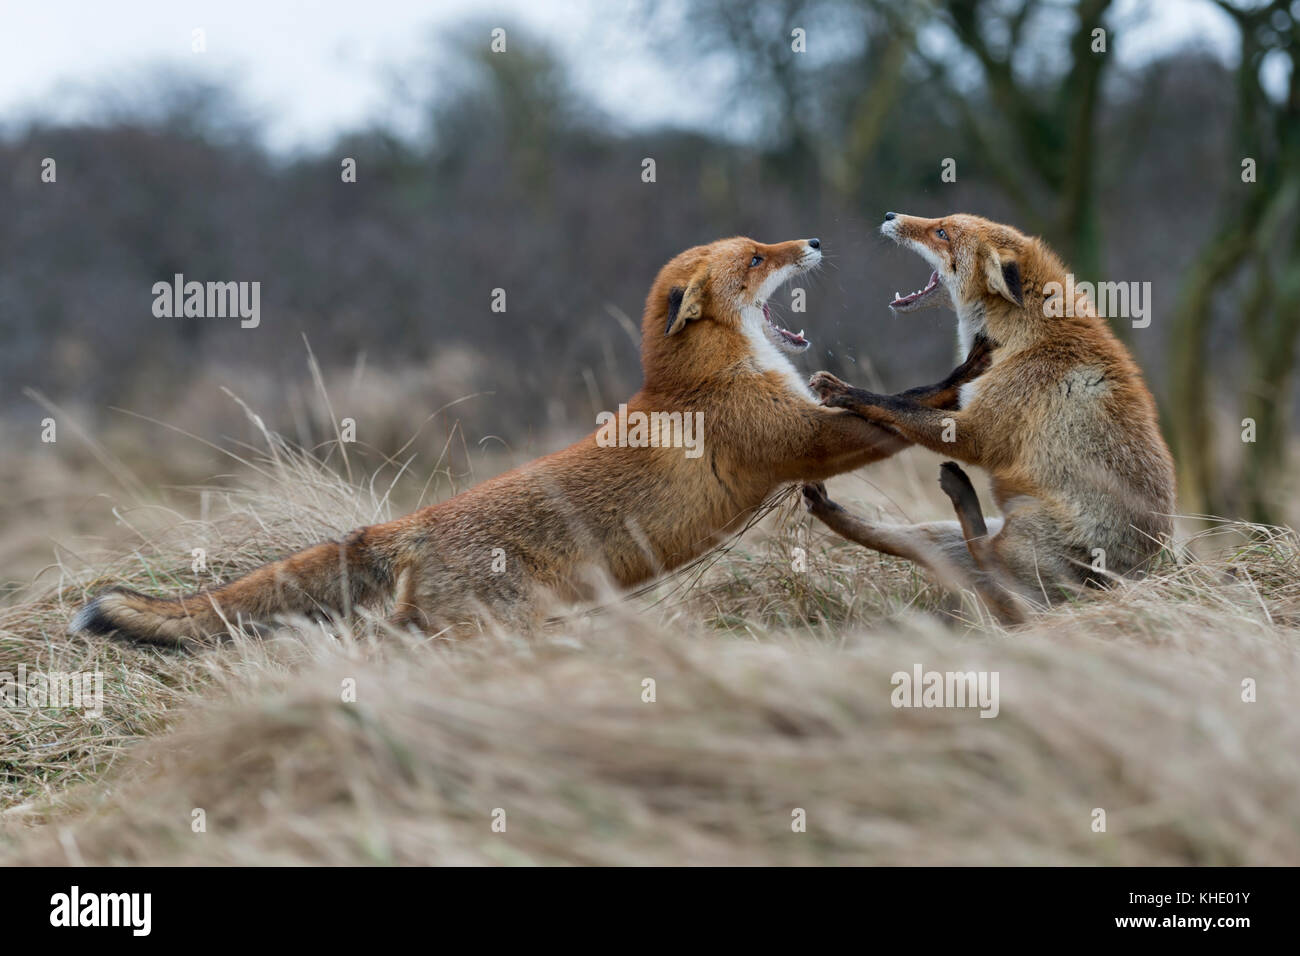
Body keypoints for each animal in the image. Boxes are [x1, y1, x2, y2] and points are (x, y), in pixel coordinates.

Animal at [71, 236, 991, 646]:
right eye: (758, 259)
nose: (811, 242)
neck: (696, 383)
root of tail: (408, 523)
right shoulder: (798, 444)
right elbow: (902, 410)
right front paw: (965, 374)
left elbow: (900, 406)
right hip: (500, 627)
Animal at [802, 212, 1176, 623]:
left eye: (942, 233)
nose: (890, 216)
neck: (1024, 336)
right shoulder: (965, 403)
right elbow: (913, 396)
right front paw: (958, 372)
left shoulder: (977, 432)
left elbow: (899, 406)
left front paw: (845, 392)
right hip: (945, 537)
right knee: (902, 541)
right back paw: (829, 507)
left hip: (1024, 531)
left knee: (989, 558)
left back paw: (962, 492)